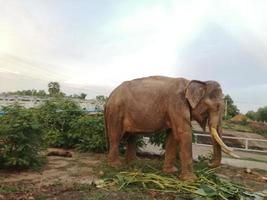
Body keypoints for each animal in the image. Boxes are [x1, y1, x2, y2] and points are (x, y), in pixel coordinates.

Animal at [104, 76, 239, 180]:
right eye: (216, 106)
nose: (208, 162)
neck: (192, 82)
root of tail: (109, 97)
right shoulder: (176, 103)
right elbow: (184, 133)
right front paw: (191, 180)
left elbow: (173, 136)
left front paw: (170, 171)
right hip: (116, 112)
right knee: (116, 137)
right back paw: (115, 165)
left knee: (132, 137)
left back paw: (133, 163)